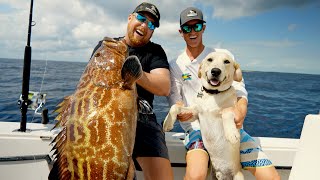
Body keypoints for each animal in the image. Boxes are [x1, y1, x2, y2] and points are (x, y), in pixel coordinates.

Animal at [164, 51, 244, 180]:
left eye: (227, 61)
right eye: (210, 59)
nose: (215, 71)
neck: (213, 94)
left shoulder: (233, 111)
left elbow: (227, 112)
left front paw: (232, 134)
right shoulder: (195, 113)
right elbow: (175, 107)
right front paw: (167, 123)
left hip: (238, 176)